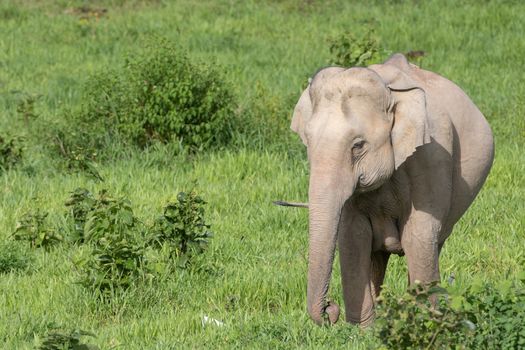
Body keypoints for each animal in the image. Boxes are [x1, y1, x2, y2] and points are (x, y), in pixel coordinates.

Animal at [288, 54, 494, 326]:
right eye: (308, 142)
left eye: (358, 145)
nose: (330, 310)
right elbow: (353, 236)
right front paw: (362, 330)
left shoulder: (432, 156)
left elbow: (419, 235)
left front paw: (421, 323)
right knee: (377, 256)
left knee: (431, 245)